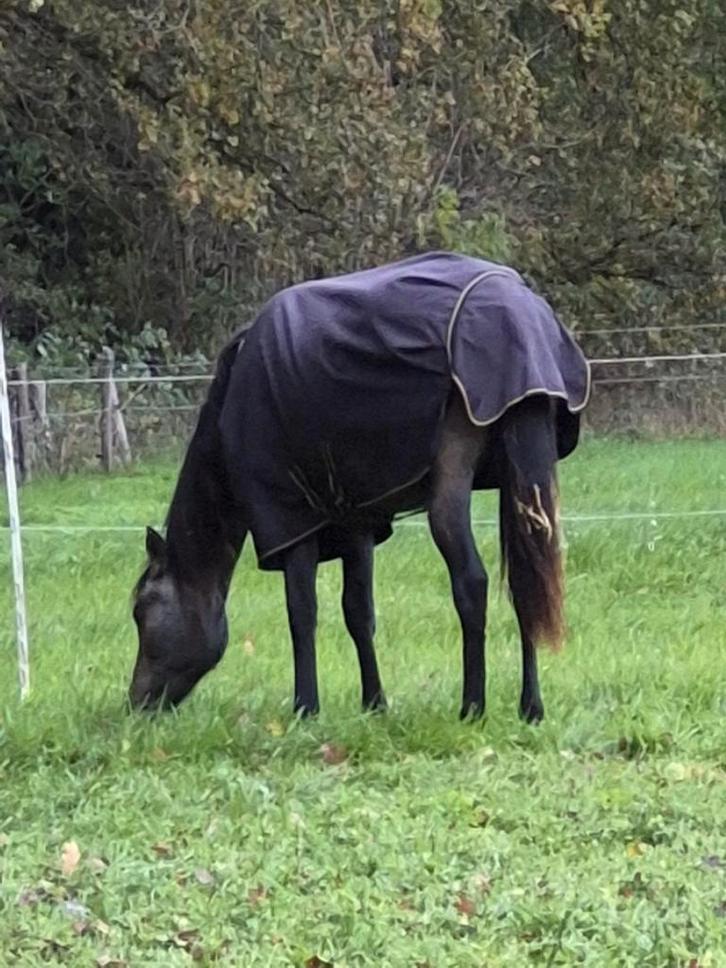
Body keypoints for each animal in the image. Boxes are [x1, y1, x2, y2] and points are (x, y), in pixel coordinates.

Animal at [129, 252, 590, 722]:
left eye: (141, 611)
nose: (137, 703)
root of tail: (517, 311)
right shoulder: (357, 520)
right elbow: (358, 612)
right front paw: (374, 703)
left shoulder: (291, 520)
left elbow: (301, 612)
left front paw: (305, 707)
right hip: (517, 485)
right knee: (526, 584)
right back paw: (530, 706)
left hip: (451, 488)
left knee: (471, 583)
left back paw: (472, 705)